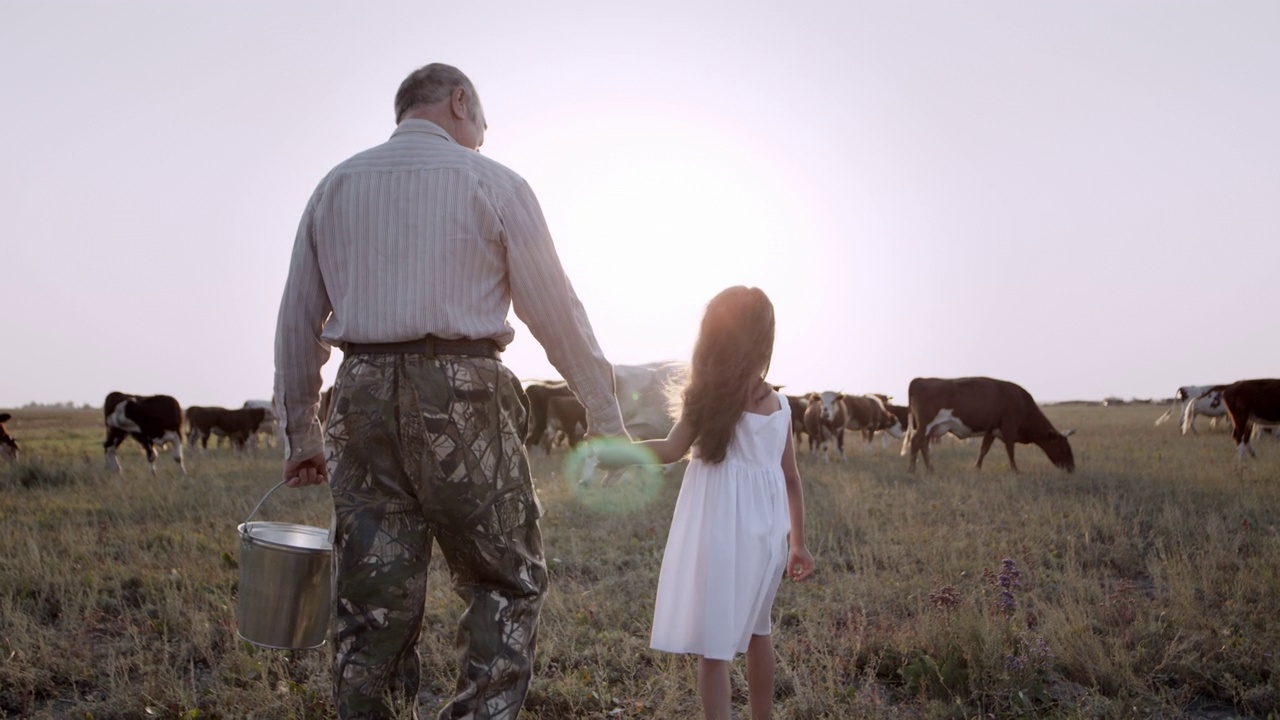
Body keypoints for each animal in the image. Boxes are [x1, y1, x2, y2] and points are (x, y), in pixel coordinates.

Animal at [906, 376, 1075, 471]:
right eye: (1064, 448)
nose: (1072, 468)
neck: (1022, 404)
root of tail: (920, 379)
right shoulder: (1009, 429)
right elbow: (1010, 451)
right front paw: (1015, 471)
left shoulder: (991, 430)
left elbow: (984, 450)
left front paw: (977, 468)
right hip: (925, 425)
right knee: (916, 442)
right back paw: (912, 470)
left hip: (930, 428)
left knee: (923, 445)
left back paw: (930, 469)